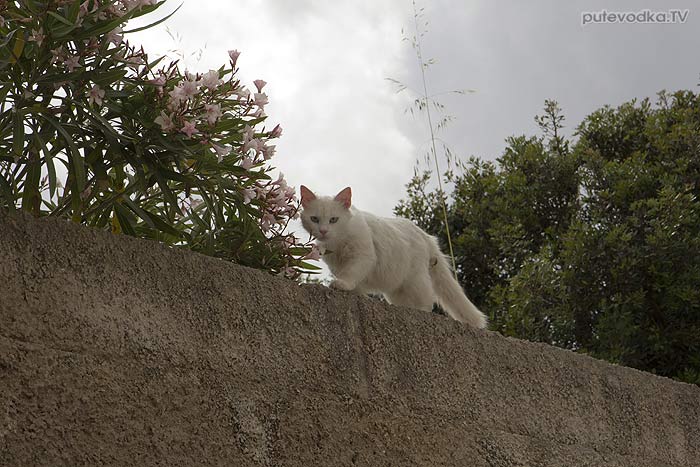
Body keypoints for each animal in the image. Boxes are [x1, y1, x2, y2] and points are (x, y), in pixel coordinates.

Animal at [300, 186, 486, 330]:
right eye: (314, 219)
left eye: (333, 220)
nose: (323, 231)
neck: (336, 244)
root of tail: (425, 235)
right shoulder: (337, 265)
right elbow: (354, 284)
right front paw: (356, 293)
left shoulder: (363, 256)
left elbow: (350, 274)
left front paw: (342, 285)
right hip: (397, 289)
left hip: (415, 280)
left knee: (428, 301)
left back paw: (421, 311)